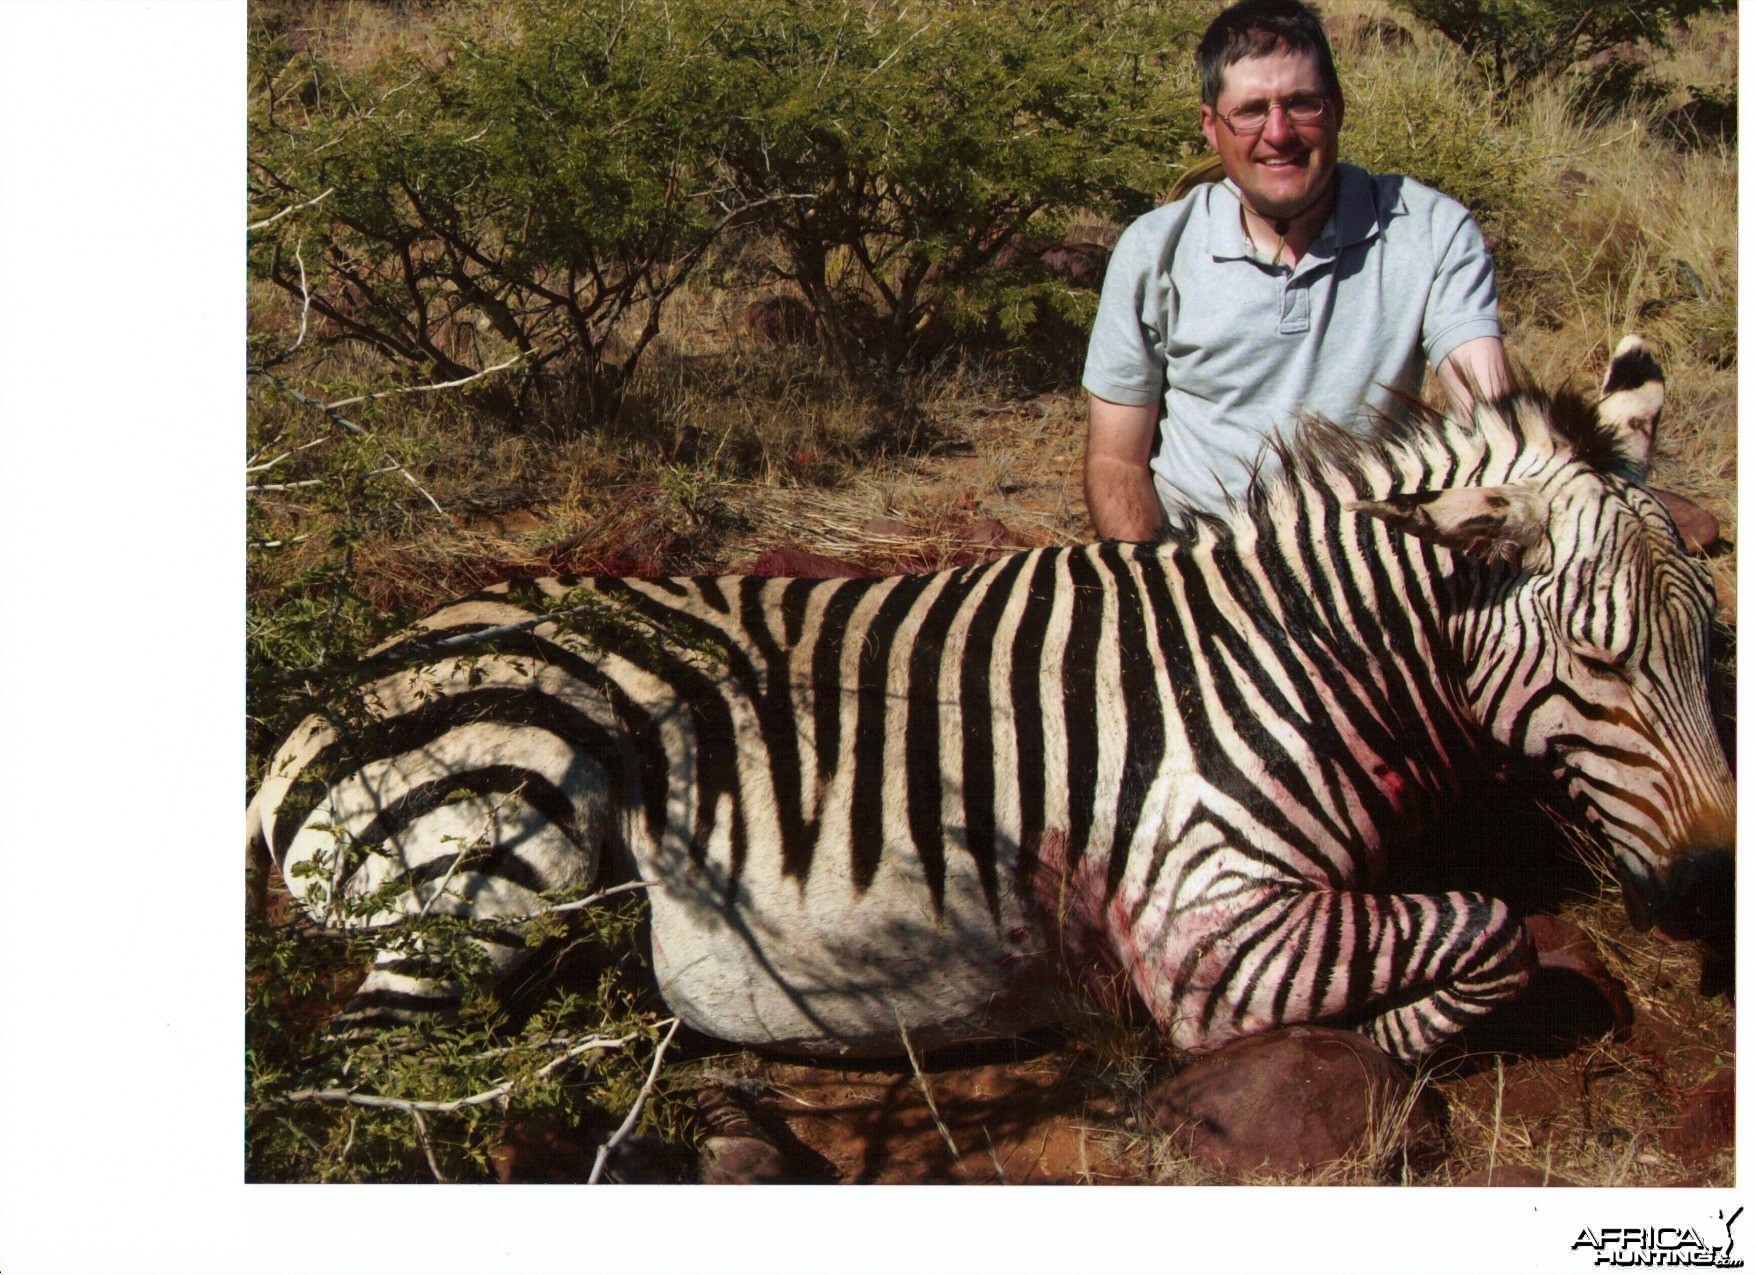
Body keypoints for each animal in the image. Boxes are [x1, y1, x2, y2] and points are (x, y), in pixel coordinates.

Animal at [243, 337, 1726, 1067]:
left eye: (1708, 645)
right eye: (1598, 662)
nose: (1711, 884)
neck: (1291, 650)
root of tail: (328, 695)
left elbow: (1483, 931)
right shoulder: (1203, 914)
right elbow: (1489, 934)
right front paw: (1370, 1039)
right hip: (497, 845)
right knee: (379, 1080)